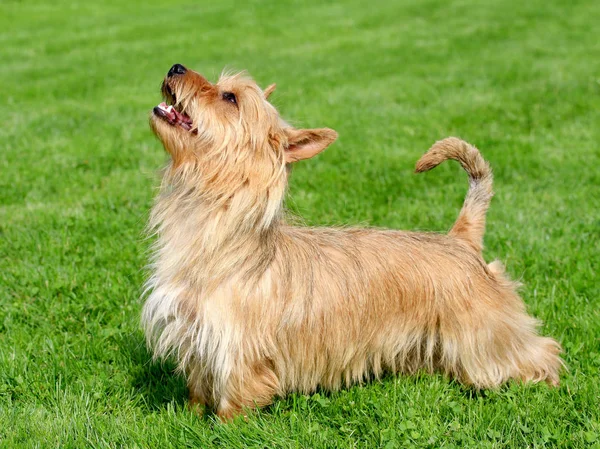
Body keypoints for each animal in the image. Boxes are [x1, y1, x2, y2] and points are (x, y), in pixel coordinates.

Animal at [142, 64, 564, 420]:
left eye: (229, 97)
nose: (176, 66)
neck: (216, 230)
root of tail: (461, 239)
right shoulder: (196, 337)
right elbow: (199, 388)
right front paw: (191, 417)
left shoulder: (237, 348)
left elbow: (235, 399)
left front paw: (224, 429)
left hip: (485, 334)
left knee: (538, 350)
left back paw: (548, 381)